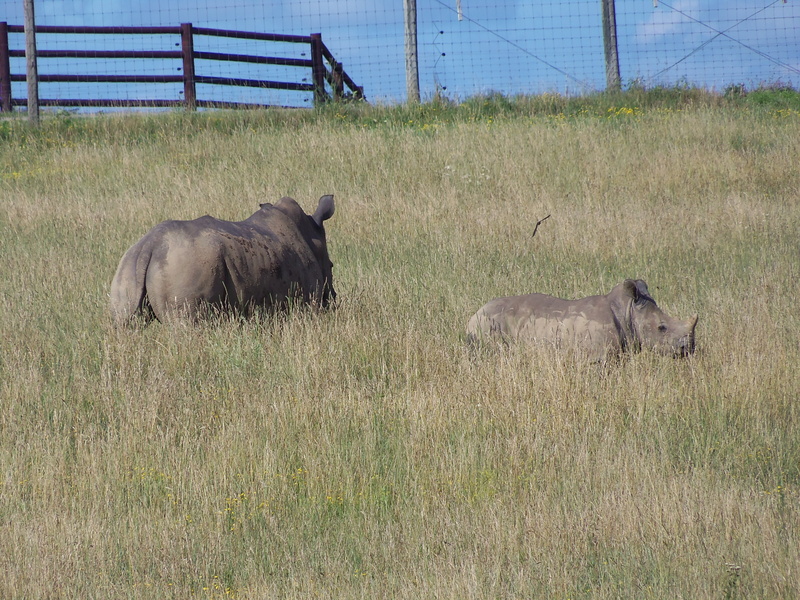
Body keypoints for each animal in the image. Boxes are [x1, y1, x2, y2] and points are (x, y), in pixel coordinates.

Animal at [110, 194, 336, 326]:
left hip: (128, 267)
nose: (333, 300)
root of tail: (150, 245)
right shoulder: (306, 302)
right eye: (332, 266)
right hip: (185, 266)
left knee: (124, 324)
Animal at [466, 279, 697, 360]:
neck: (627, 310)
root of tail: (474, 314)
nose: (689, 349)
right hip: (487, 325)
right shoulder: (598, 357)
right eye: (662, 327)